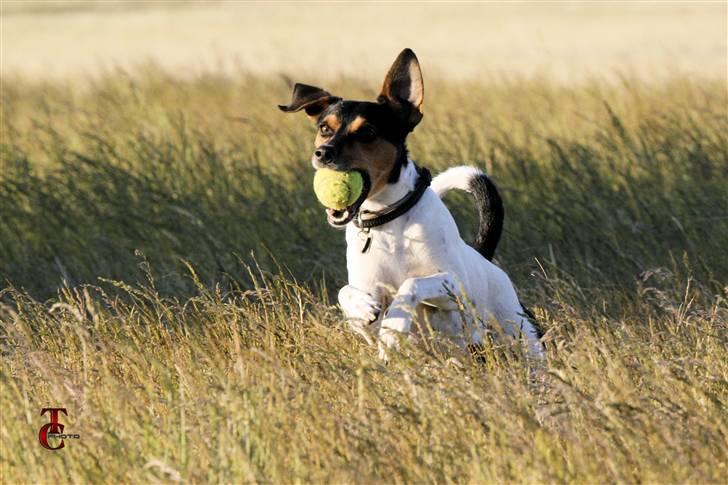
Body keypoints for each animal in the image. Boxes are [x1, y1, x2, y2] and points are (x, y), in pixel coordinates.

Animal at [282, 48, 544, 360]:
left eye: (367, 132)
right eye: (324, 128)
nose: (323, 153)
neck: (387, 221)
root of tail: (484, 259)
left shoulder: (455, 288)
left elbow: (412, 284)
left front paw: (395, 326)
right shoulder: (366, 310)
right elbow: (346, 293)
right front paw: (363, 307)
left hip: (520, 334)